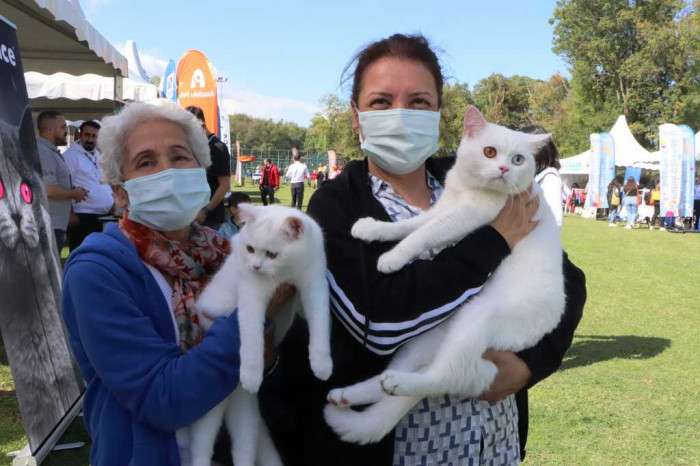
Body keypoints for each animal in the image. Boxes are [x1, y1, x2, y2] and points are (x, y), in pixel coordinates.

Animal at [179, 203, 333, 466]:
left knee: (245, 448)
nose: (256, 267)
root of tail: (233, 396)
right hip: (210, 412)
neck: (286, 273)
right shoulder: (252, 294)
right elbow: (251, 338)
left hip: (247, 417)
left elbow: (320, 323)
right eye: (250, 249)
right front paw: (251, 373)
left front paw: (321, 364)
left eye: (272, 254)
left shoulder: (314, 284)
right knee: (201, 445)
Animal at [323, 105, 566, 445]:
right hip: (426, 338)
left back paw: (398, 383)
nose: (504, 168)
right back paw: (351, 393)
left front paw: (392, 258)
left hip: (477, 317)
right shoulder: (442, 209)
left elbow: (423, 234)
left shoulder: (465, 217)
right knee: (404, 375)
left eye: (519, 159)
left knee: (448, 374)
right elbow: (410, 226)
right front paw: (373, 229)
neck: (467, 189)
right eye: (489, 152)